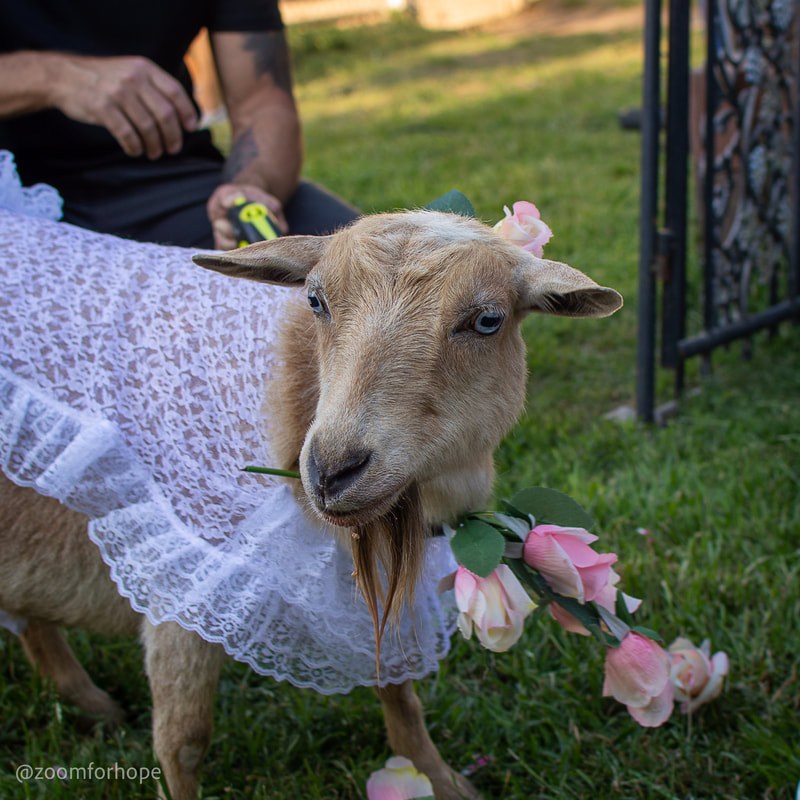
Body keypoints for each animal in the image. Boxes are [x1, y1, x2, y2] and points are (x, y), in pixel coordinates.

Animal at [0, 208, 622, 799]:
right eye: (315, 300)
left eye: (488, 320)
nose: (332, 471)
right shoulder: (185, 576)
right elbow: (184, 741)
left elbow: (399, 690)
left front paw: (439, 780)